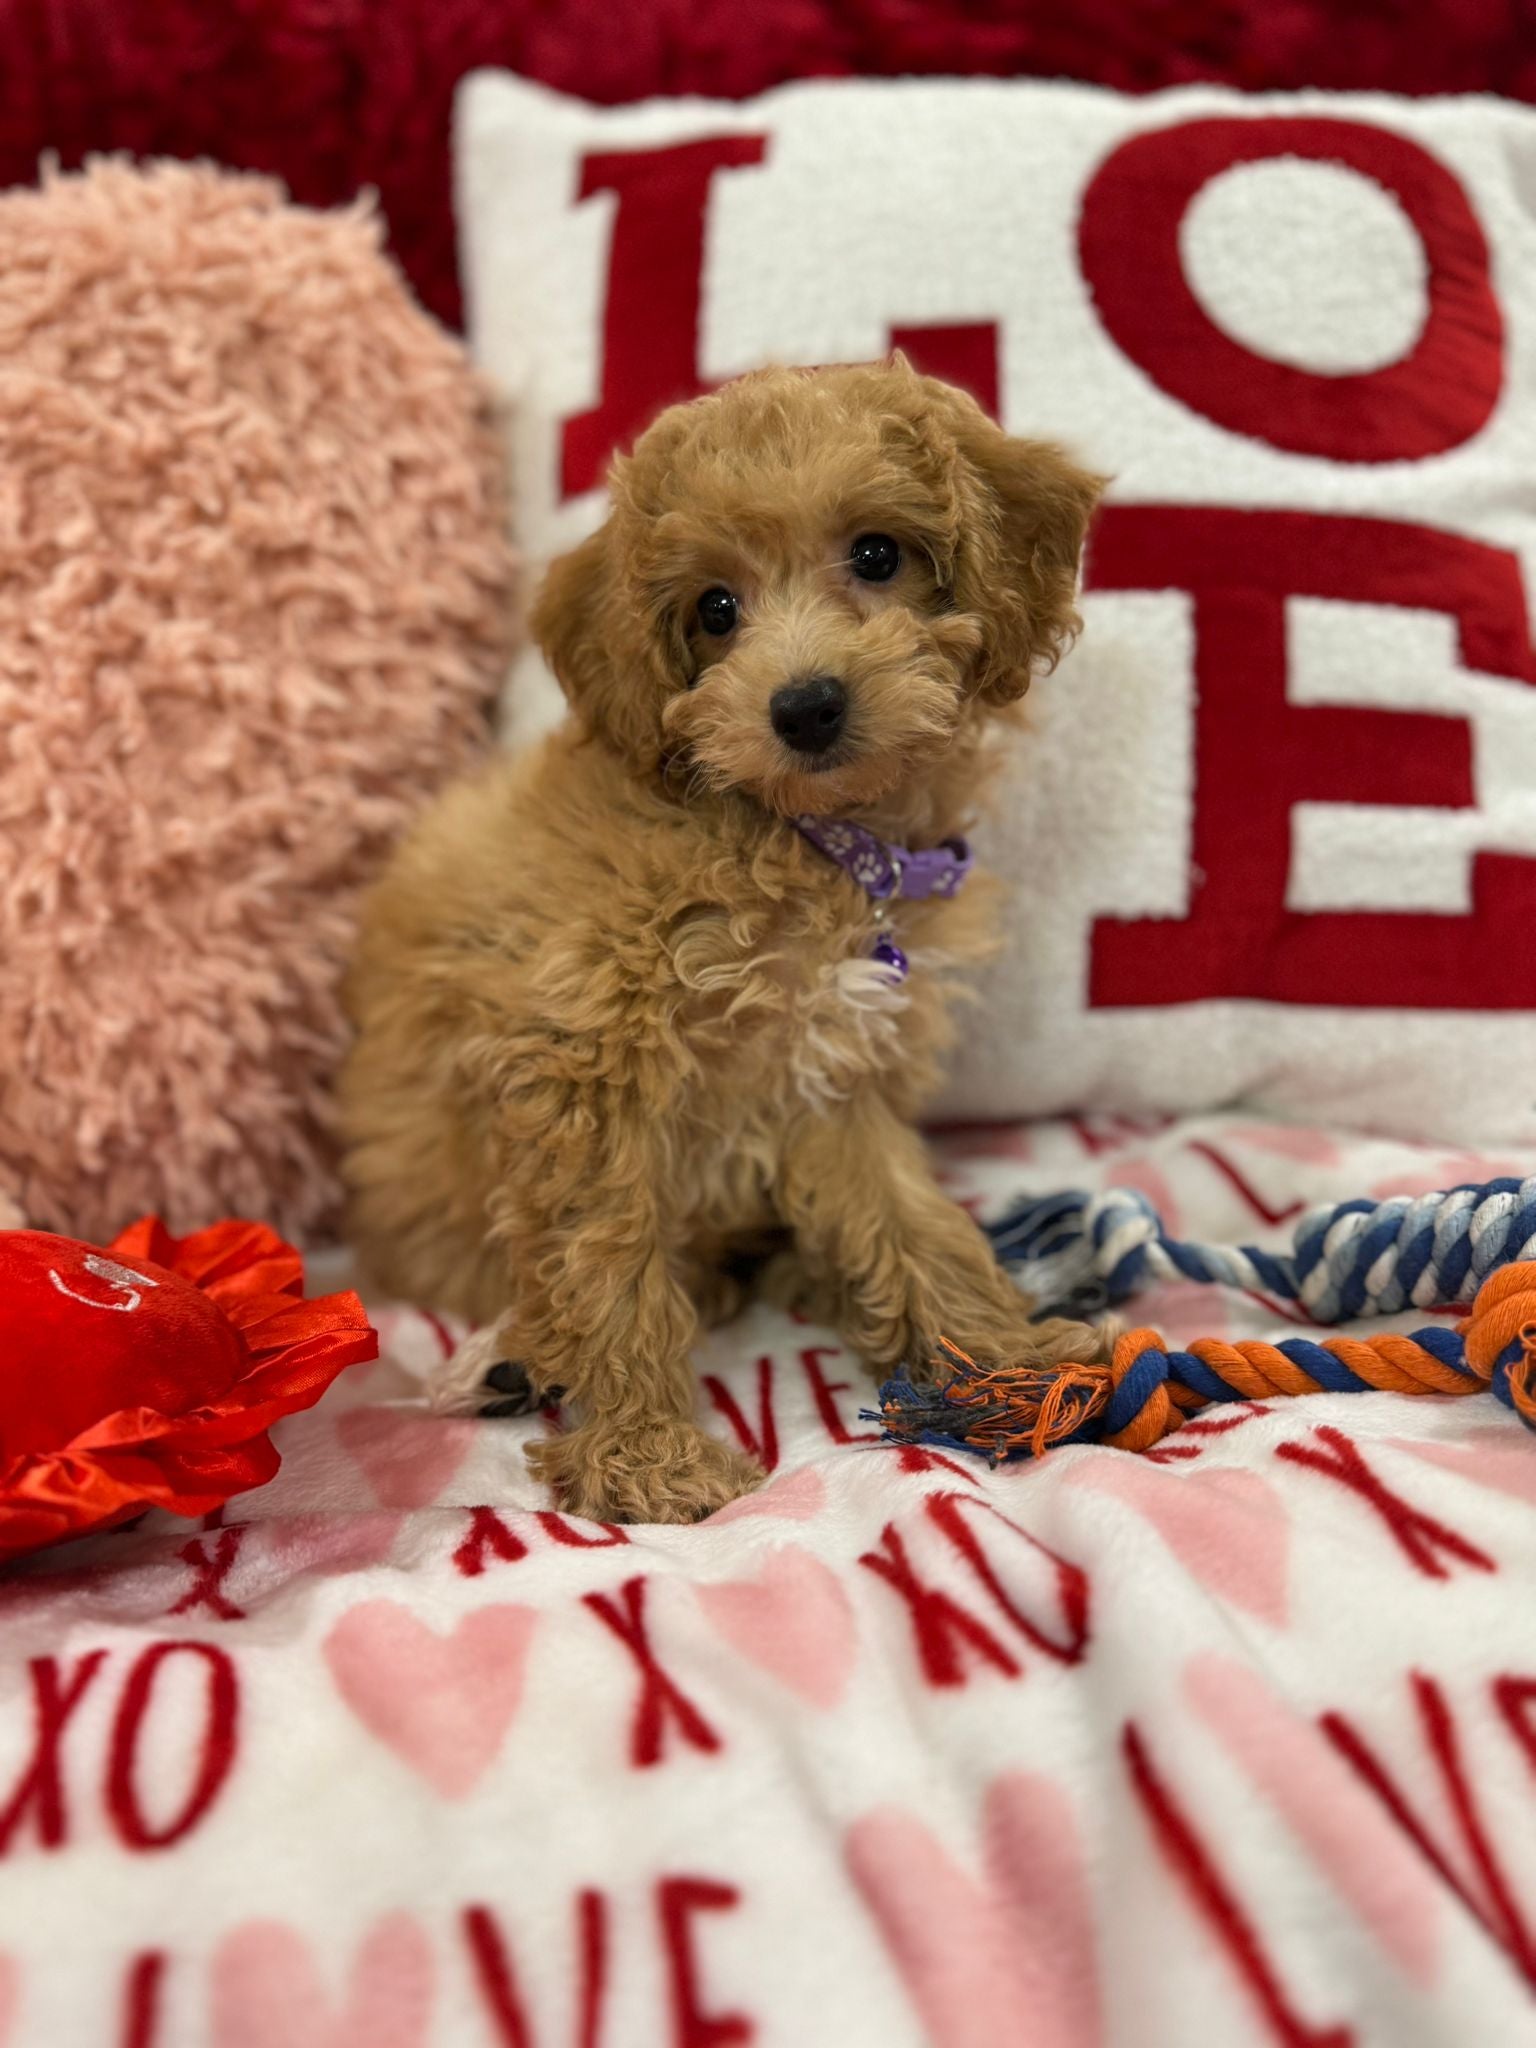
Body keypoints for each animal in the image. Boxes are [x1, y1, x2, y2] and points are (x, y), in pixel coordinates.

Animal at [342, 356, 1105, 1523]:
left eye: (877, 554)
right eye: (714, 609)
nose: (805, 706)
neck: (804, 841)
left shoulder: (832, 1076)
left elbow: (910, 1219)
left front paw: (998, 1361)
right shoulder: (580, 1058)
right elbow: (607, 1256)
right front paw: (644, 1450)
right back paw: (517, 1359)